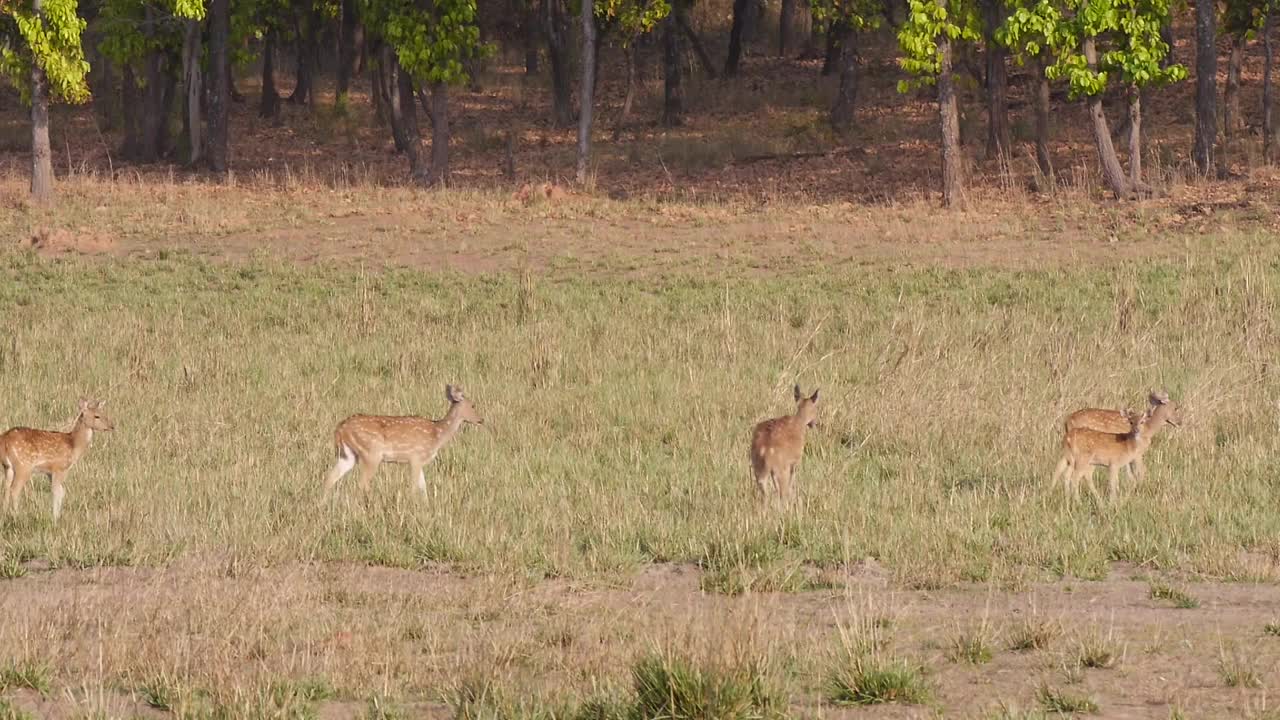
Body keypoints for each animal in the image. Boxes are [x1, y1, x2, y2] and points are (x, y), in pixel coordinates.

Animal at [325, 384, 483, 497]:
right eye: (473, 405)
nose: (481, 420)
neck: (437, 434)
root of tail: (340, 430)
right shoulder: (415, 457)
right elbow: (414, 488)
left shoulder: (418, 461)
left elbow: (423, 488)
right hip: (371, 453)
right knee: (361, 483)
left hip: (348, 455)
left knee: (329, 478)